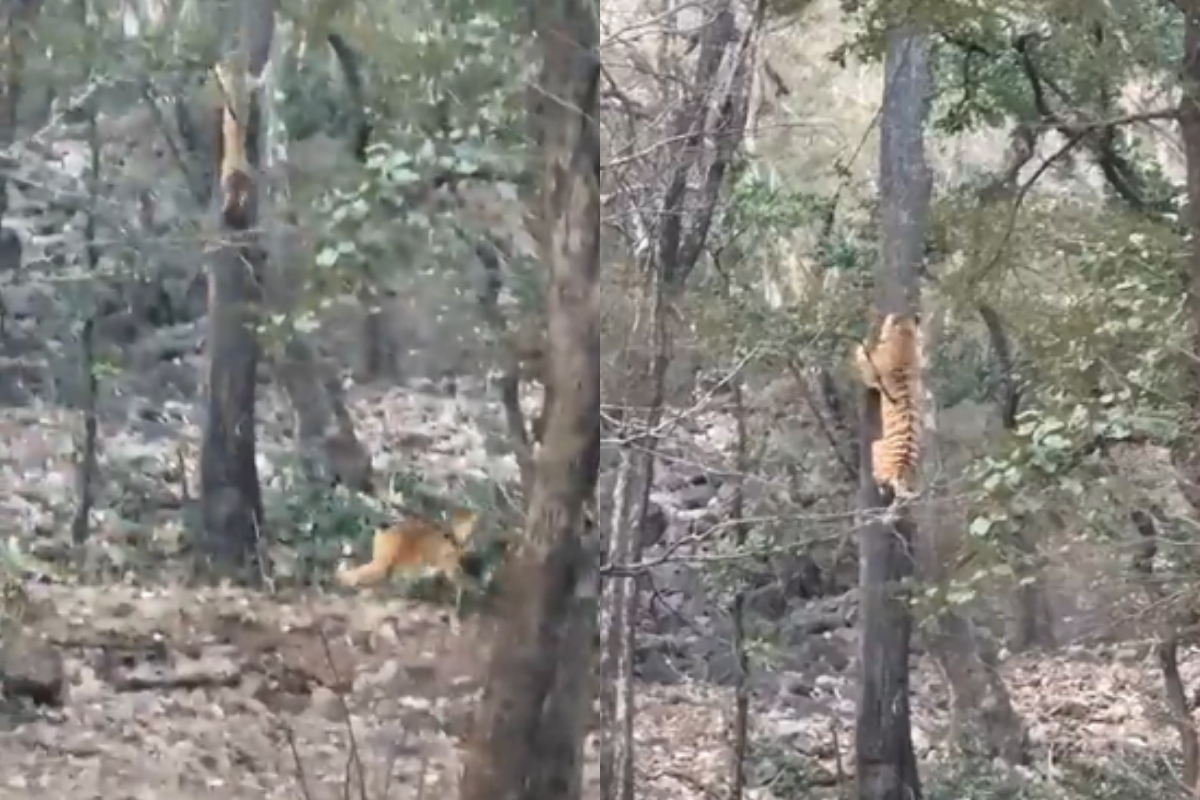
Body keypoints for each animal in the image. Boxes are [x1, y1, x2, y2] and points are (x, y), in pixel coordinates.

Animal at [853, 312, 922, 501]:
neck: (904, 336)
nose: (890, 315)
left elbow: (863, 359)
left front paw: (862, 345)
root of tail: (901, 469)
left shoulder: (871, 374)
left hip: (876, 446)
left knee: (880, 478)